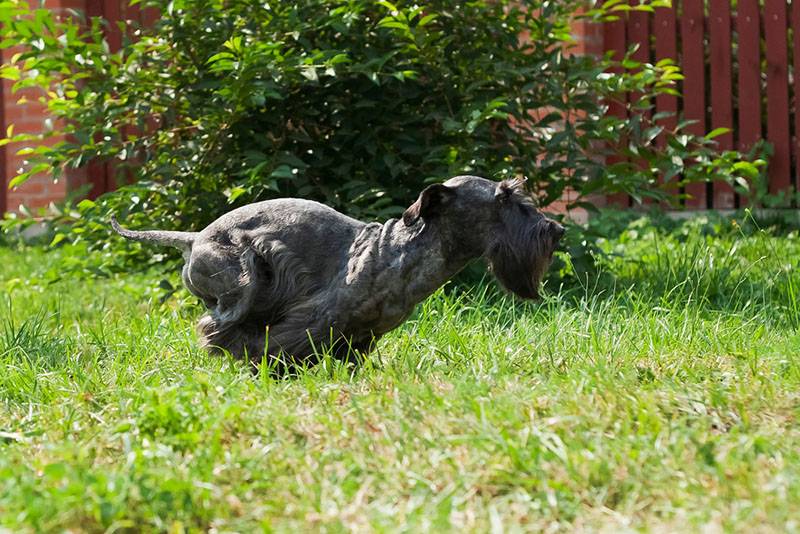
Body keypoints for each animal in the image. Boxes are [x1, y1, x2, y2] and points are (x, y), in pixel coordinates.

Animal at [112, 176, 564, 372]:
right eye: (503, 199)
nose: (556, 230)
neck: (399, 251)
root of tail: (192, 239)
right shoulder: (310, 322)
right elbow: (278, 347)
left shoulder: (359, 338)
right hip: (242, 280)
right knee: (217, 325)